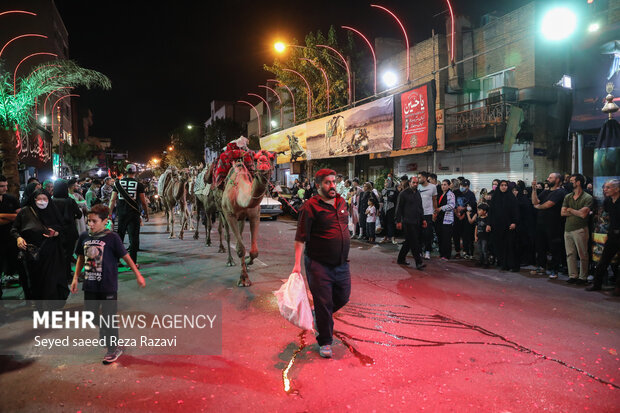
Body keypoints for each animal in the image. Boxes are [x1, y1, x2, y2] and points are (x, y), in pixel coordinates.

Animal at [220, 149, 274, 286]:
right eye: (254, 159)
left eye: (272, 157)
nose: (263, 163)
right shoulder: (230, 215)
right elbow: (240, 248)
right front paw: (243, 279)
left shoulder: (254, 215)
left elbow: (254, 251)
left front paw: (248, 263)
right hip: (221, 212)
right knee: (227, 235)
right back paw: (229, 260)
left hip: (242, 219)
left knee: (240, 234)